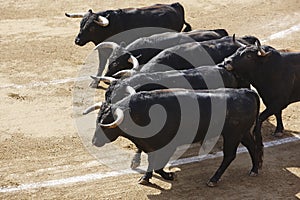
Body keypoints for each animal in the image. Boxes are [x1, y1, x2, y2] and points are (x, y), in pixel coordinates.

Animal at [84, 88, 262, 186]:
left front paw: (169, 175)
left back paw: (214, 179)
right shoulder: (150, 146)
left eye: (108, 123)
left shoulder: (167, 145)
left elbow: (158, 165)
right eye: (98, 119)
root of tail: (247, 92)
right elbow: (152, 163)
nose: (94, 141)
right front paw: (146, 178)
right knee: (252, 147)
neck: (140, 114)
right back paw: (254, 169)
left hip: (232, 134)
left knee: (229, 155)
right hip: (242, 132)